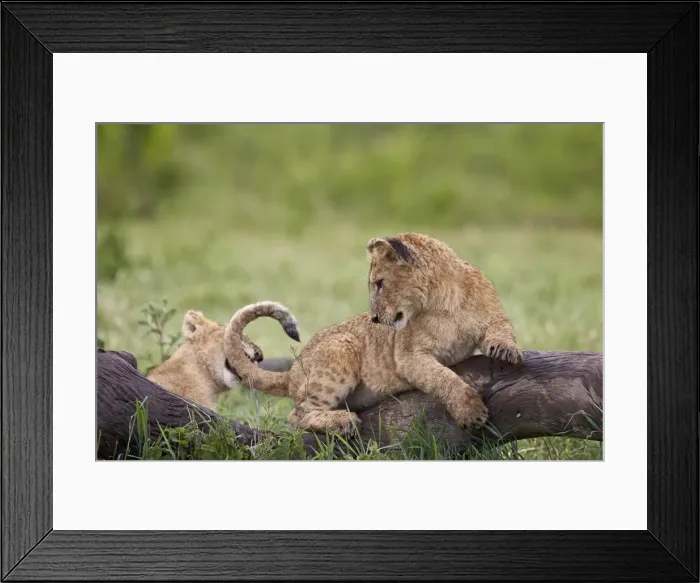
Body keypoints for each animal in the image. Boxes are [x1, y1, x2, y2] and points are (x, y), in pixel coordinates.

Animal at [223, 232, 523, 434]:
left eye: (379, 283)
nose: (375, 319)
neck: (443, 302)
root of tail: (293, 371)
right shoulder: (408, 357)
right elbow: (443, 378)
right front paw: (470, 412)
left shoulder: (492, 316)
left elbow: (502, 329)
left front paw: (506, 350)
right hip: (341, 348)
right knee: (298, 414)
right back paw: (342, 421)